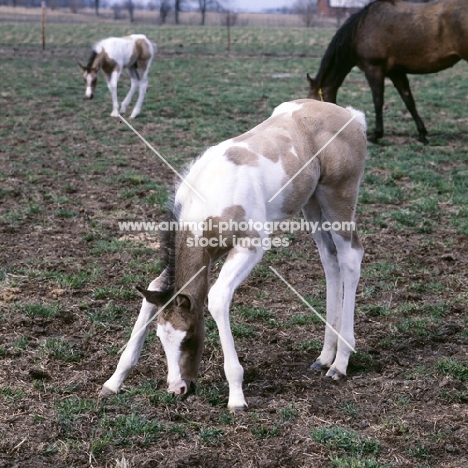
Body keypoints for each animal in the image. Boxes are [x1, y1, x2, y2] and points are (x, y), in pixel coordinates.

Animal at [101, 100, 366, 412]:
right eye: (161, 339)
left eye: (188, 336)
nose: (178, 389)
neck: (207, 198)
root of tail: (351, 115)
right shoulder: (209, 254)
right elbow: (154, 288)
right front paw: (113, 382)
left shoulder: (251, 246)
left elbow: (217, 298)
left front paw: (237, 396)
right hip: (312, 204)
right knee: (329, 260)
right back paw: (325, 356)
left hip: (338, 198)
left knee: (350, 258)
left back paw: (340, 362)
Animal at [308, 0, 468, 143]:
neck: (360, 29)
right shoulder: (396, 72)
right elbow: (409, 101)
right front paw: (422, 133)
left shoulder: (374, 69)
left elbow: (378, 101)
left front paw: (376, 135)